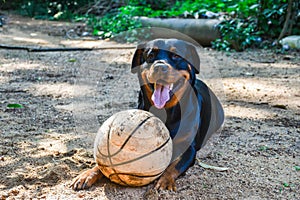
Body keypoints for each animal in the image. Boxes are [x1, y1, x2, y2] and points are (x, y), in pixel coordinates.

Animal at [71, 38, 224, 191]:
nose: (160, 67)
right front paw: (88, 174)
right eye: (150, 55)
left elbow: (175, 165)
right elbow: (101, 163)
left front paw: (165, 180)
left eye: (176, 56)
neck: (165, 111)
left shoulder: (189, 149)